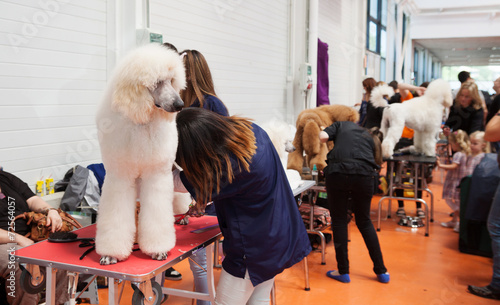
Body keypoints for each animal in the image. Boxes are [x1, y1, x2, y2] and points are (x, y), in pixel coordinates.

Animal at [95, 43, 186, 264]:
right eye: (158, 82)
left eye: (172, 81)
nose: (179, 105)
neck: (141, 121)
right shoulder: (120, 175)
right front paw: (111, 253)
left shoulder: (156, 174)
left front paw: (158, 249)